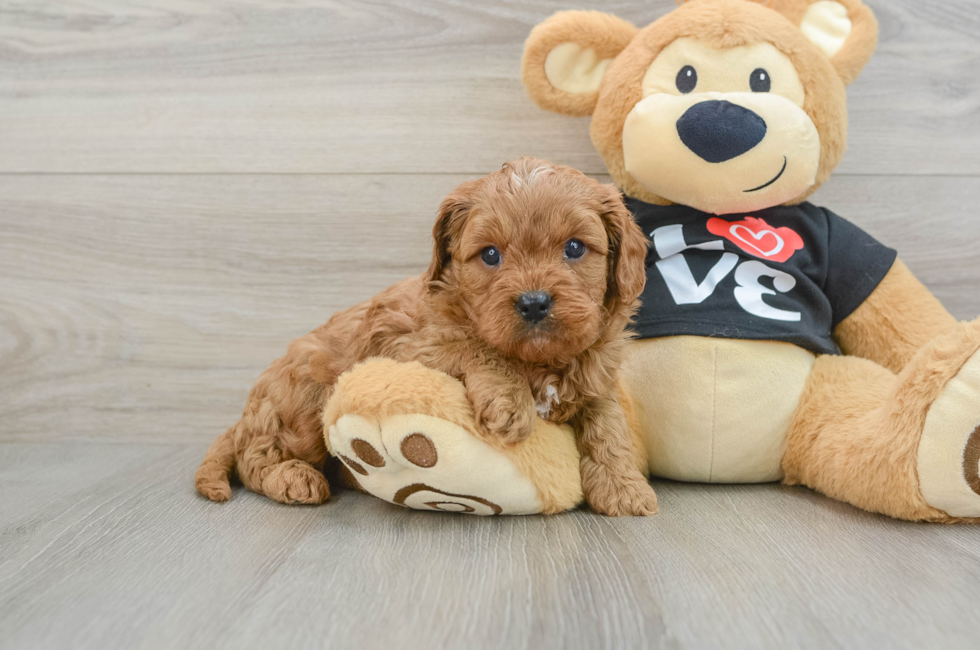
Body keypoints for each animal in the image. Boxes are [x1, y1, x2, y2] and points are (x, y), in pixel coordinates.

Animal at [195, 156, 660, 512]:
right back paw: (291, 477)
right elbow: (473, 345)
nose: (534, 302)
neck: (537, 360)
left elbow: (609, 425)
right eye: (490, 254)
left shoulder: (596, 375)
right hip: (306, 396)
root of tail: (245, 416)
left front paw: (623, 488)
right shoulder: (409, 344)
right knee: (255, 457)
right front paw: (510, 401)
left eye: (575, 248)